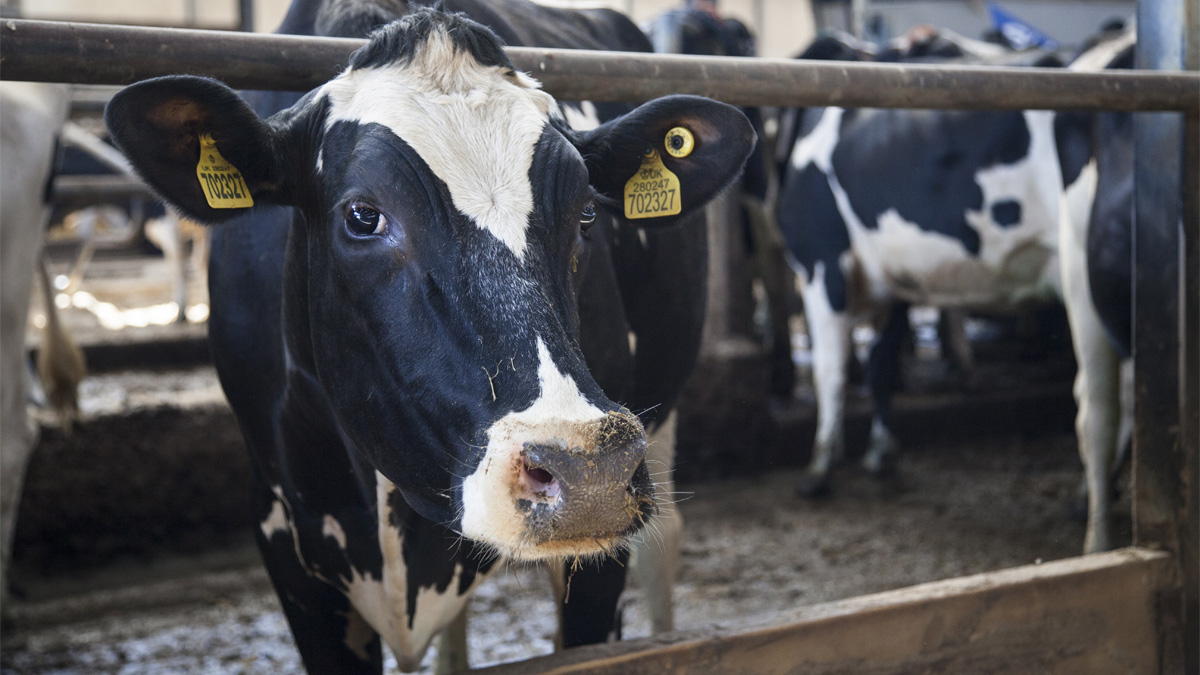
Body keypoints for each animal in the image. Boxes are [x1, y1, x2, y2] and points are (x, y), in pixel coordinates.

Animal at [775, 26, 1131, 554]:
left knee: (1104, 404)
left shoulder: (822, 266)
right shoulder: (894, 280)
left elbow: (830, 371)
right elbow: (881, 365)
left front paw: (818, 470)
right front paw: (880, 453)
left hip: (1089, 280)